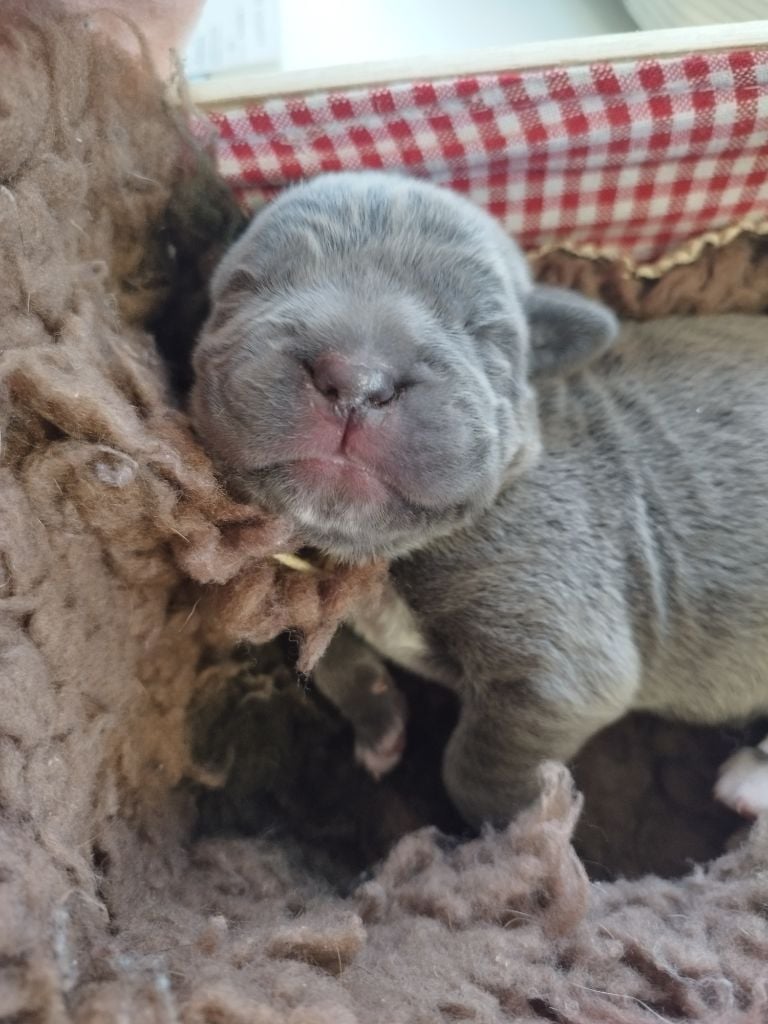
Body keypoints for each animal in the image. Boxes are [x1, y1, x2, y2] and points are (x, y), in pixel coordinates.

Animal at [189, 167, 768, 823]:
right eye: (247, 286)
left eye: (483, 332)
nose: (357, 381)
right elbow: (328, 654)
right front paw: (379, 721)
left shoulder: (557, 664)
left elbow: (476, 773)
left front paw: (527, 829)